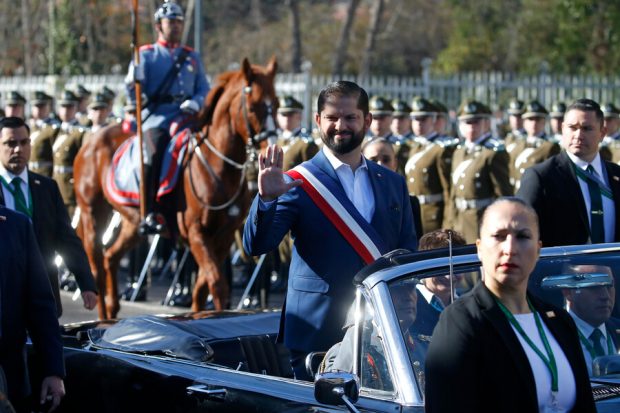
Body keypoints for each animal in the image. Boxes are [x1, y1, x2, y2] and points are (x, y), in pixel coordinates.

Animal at [74, 56, 278, 318]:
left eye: (276, 103)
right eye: (252, 107)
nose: (272, 147)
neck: (217, 166)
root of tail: (92, 139)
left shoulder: (223, 236)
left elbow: (202, 287)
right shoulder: (196, 232)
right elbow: (217, 283)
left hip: (132, 222)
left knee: (111, 257)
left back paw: (112, 309)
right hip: (92, 214)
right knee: (96, 268)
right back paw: (102, 317)